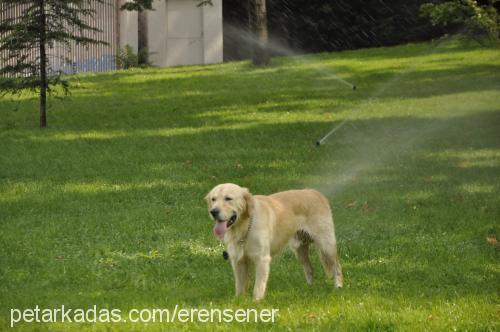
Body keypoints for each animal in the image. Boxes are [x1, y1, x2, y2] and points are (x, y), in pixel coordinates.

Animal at [205, 183, 342, 300]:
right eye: (213, 199)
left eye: (228, 198)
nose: (213, 212)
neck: (245, 226)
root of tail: (316, 192)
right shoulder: (238, 260)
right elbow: (239, 286)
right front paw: (239, 301)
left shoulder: (262, 259)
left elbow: (258, 286)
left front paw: (256, 302)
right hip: (299, 250)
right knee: (309, 268)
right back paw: (309, 287)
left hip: (326, 245)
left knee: (337, 266)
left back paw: (338, 287)